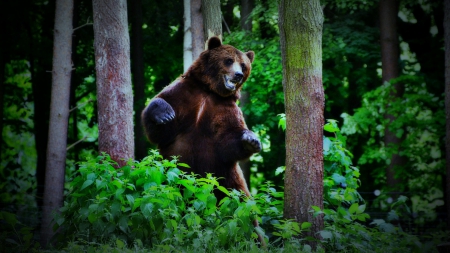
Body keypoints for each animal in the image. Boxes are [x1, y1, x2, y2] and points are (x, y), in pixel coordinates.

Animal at [141, 36, 260, 200]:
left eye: (243, 65)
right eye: (229, 60)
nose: (238, 75)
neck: (209, 90)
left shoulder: (224, 108)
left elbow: (228, 138)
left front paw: (251, 140)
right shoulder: (183, 93)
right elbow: (161, 131)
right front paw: (164, 114)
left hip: (226, 178)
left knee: (239, 198)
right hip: (168, 172)